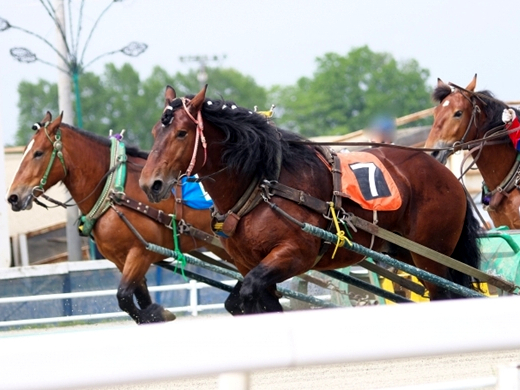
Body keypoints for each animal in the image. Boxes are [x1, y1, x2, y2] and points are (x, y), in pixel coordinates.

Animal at [5, 112, 232, 322]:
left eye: (38, 153)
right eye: (25, 152)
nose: (13, 197)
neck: (115, 191)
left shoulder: (140, 254)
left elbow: (123, 297)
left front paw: (157, 313)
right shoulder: (121, 260)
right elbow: (138, 301)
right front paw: (155, 314)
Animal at [139, 85, 484, 314]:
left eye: (182, 133)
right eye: (156, 131)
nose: (150, 183)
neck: (263, 185)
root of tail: (445, 173)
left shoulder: (294, 255)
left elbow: (248, 294)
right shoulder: (250, 265)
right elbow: (245, 301)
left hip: (432, 256)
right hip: (407, 253)